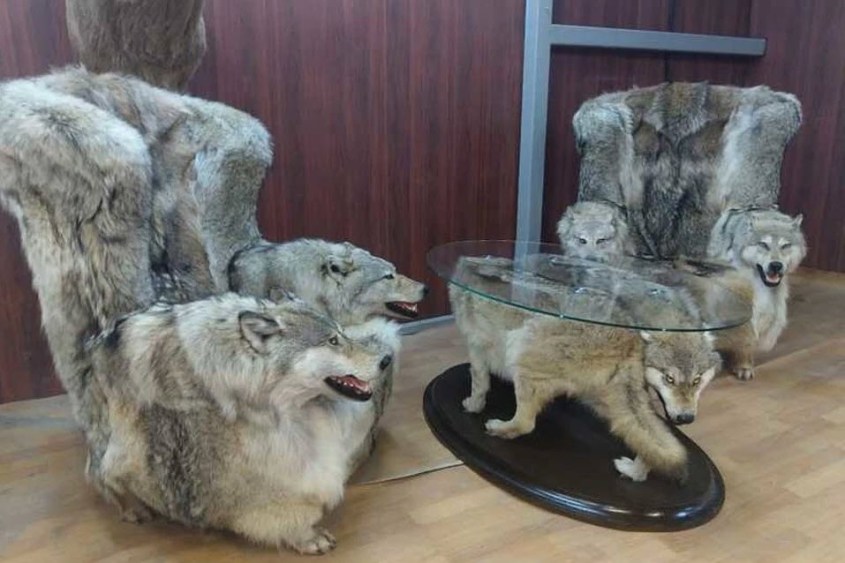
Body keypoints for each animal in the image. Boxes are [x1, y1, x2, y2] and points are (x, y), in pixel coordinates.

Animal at [87, 294, 390, 554]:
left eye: (343, 334)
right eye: (332, 341)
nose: (386, 359)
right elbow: (278, 507)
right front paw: (305, 536)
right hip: (128, 444)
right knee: (103, 472)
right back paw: (131, 508)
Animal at [706, 208, 807, 379]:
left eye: (785, 245)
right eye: (763, 244)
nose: (776, 265)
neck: (761, 286)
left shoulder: (769, 309)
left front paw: (744, 365)